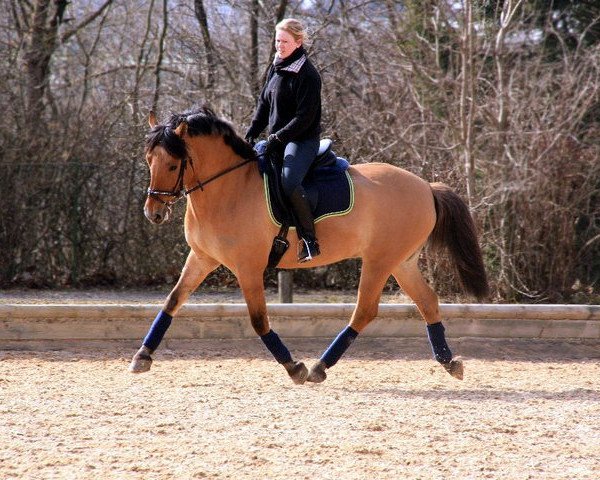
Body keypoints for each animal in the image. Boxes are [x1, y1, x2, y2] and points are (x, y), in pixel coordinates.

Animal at [130, 107, 488, 384]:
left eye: (172, 164)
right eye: (148, 160)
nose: (154, 213)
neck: (228, 188)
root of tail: (426, 187)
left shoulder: (248, 268)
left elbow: (259, 320)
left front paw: (294, 367)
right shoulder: (202, 257)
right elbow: (172, 300)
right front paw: (142, 355)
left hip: (380, 261)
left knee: (365, 310)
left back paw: (319, 367)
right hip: (402, 262)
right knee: (427, 302)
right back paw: (449, 362)